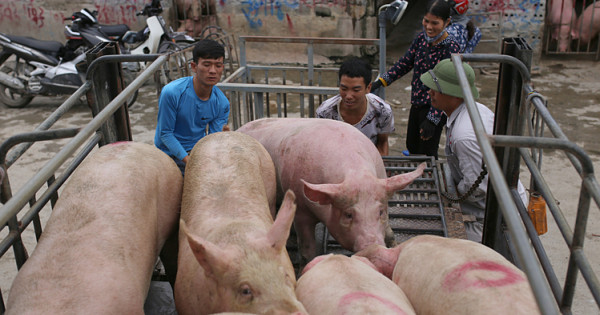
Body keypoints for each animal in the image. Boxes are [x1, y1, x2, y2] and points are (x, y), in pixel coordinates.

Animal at [236, 118, 426, 262]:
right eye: (348, 214)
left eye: (380, 211)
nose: (373, 247)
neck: (355, 172)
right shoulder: (301, 211)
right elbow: (307, 249)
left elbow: (389, 232)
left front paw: (394, 245)